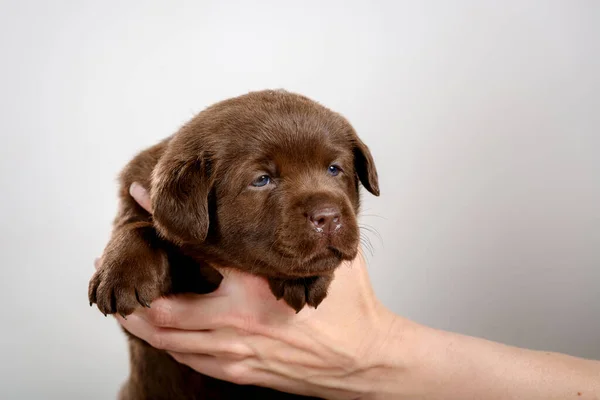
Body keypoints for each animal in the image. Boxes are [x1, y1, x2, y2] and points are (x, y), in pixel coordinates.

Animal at [88, 89, 380, 398]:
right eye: (261, 180)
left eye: (334, 169)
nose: (328, 217)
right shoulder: (145, 334)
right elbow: (139, 226)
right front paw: (121, 274)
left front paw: (304, 278)